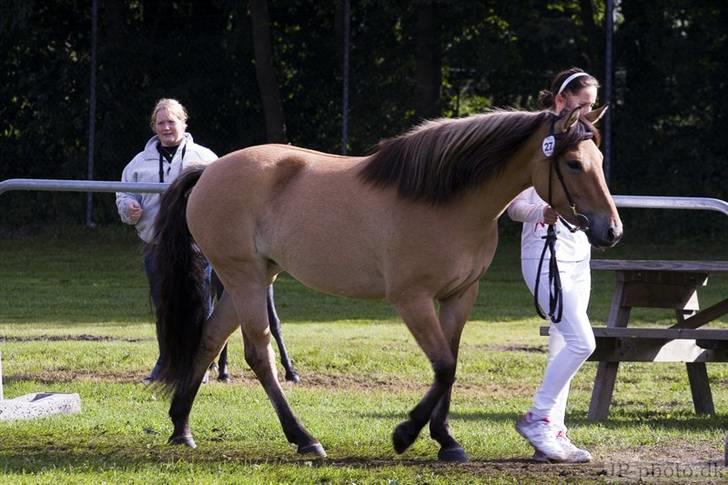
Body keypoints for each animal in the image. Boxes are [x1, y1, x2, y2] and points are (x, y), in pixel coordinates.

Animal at [151, 106, 624, 462]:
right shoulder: (412, 299)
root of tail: (209, 170)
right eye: (573, 163)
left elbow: (450, 363)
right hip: (245, 278)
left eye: (601, 162)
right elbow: (444, 366)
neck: (447, 200)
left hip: (250, 278)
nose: (611, 230)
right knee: (258, 353)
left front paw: (446, 440)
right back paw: (304, 438)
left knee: (210, 338)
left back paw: (181, 427)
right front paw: (405, 434)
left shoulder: (460, 295)